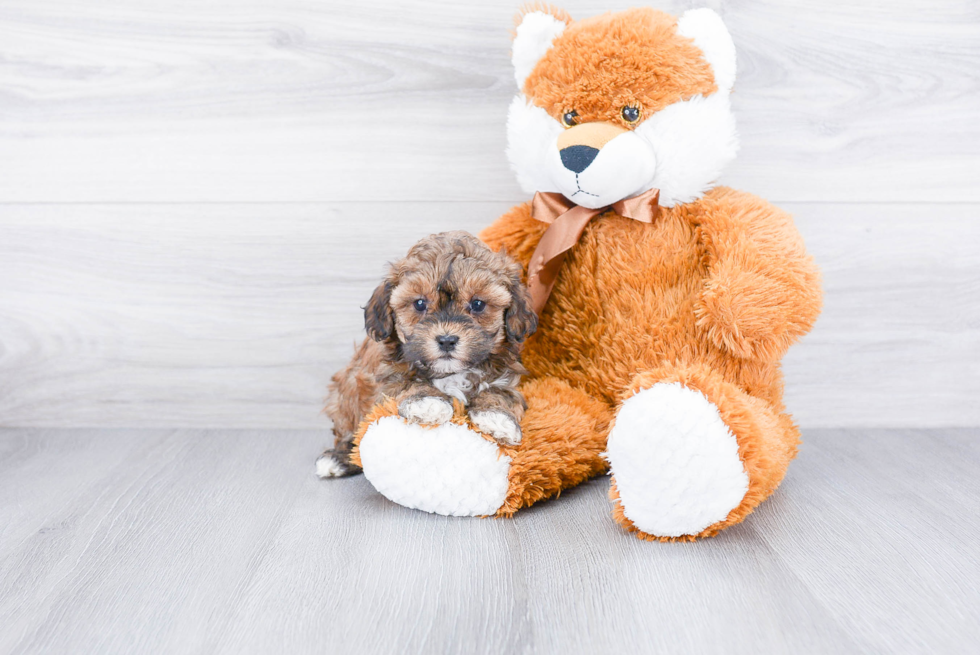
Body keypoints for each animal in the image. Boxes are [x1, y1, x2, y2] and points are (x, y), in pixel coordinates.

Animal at [318, 231, 536, 476]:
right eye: (420, 303)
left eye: (478, 304)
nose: (447, 340)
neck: (451, 374)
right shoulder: (384, 378)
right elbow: (406, 383)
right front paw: (428, 403)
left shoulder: (507, 377)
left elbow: (500, 392)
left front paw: (498, 418)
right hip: (347, 394)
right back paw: (337, 459)